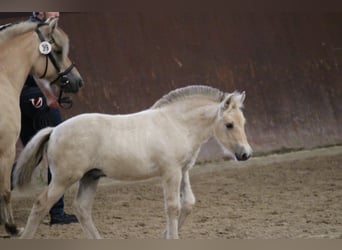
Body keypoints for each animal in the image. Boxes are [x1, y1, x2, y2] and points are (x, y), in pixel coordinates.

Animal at [13, 85, 252, 239]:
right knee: (41, 203)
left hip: (91, 177)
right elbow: (173, 207)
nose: (246, 154)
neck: (176, 124)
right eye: (229, 124)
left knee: (82, 208)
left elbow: (188, 204)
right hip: (64, 178)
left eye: (243, 122)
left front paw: (163, 235)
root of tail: (54, 130)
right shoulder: (171, 172)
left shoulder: (183, 171)